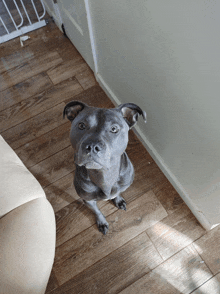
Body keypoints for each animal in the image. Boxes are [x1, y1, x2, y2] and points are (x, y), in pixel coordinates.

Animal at [63, 101, 146, 234]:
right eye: (81, 125)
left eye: (114, 129)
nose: (92, 146)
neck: (104, 174)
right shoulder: (88, 200)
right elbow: (97, 211)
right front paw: (102, 222)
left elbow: (117, 193)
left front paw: (118, 199)